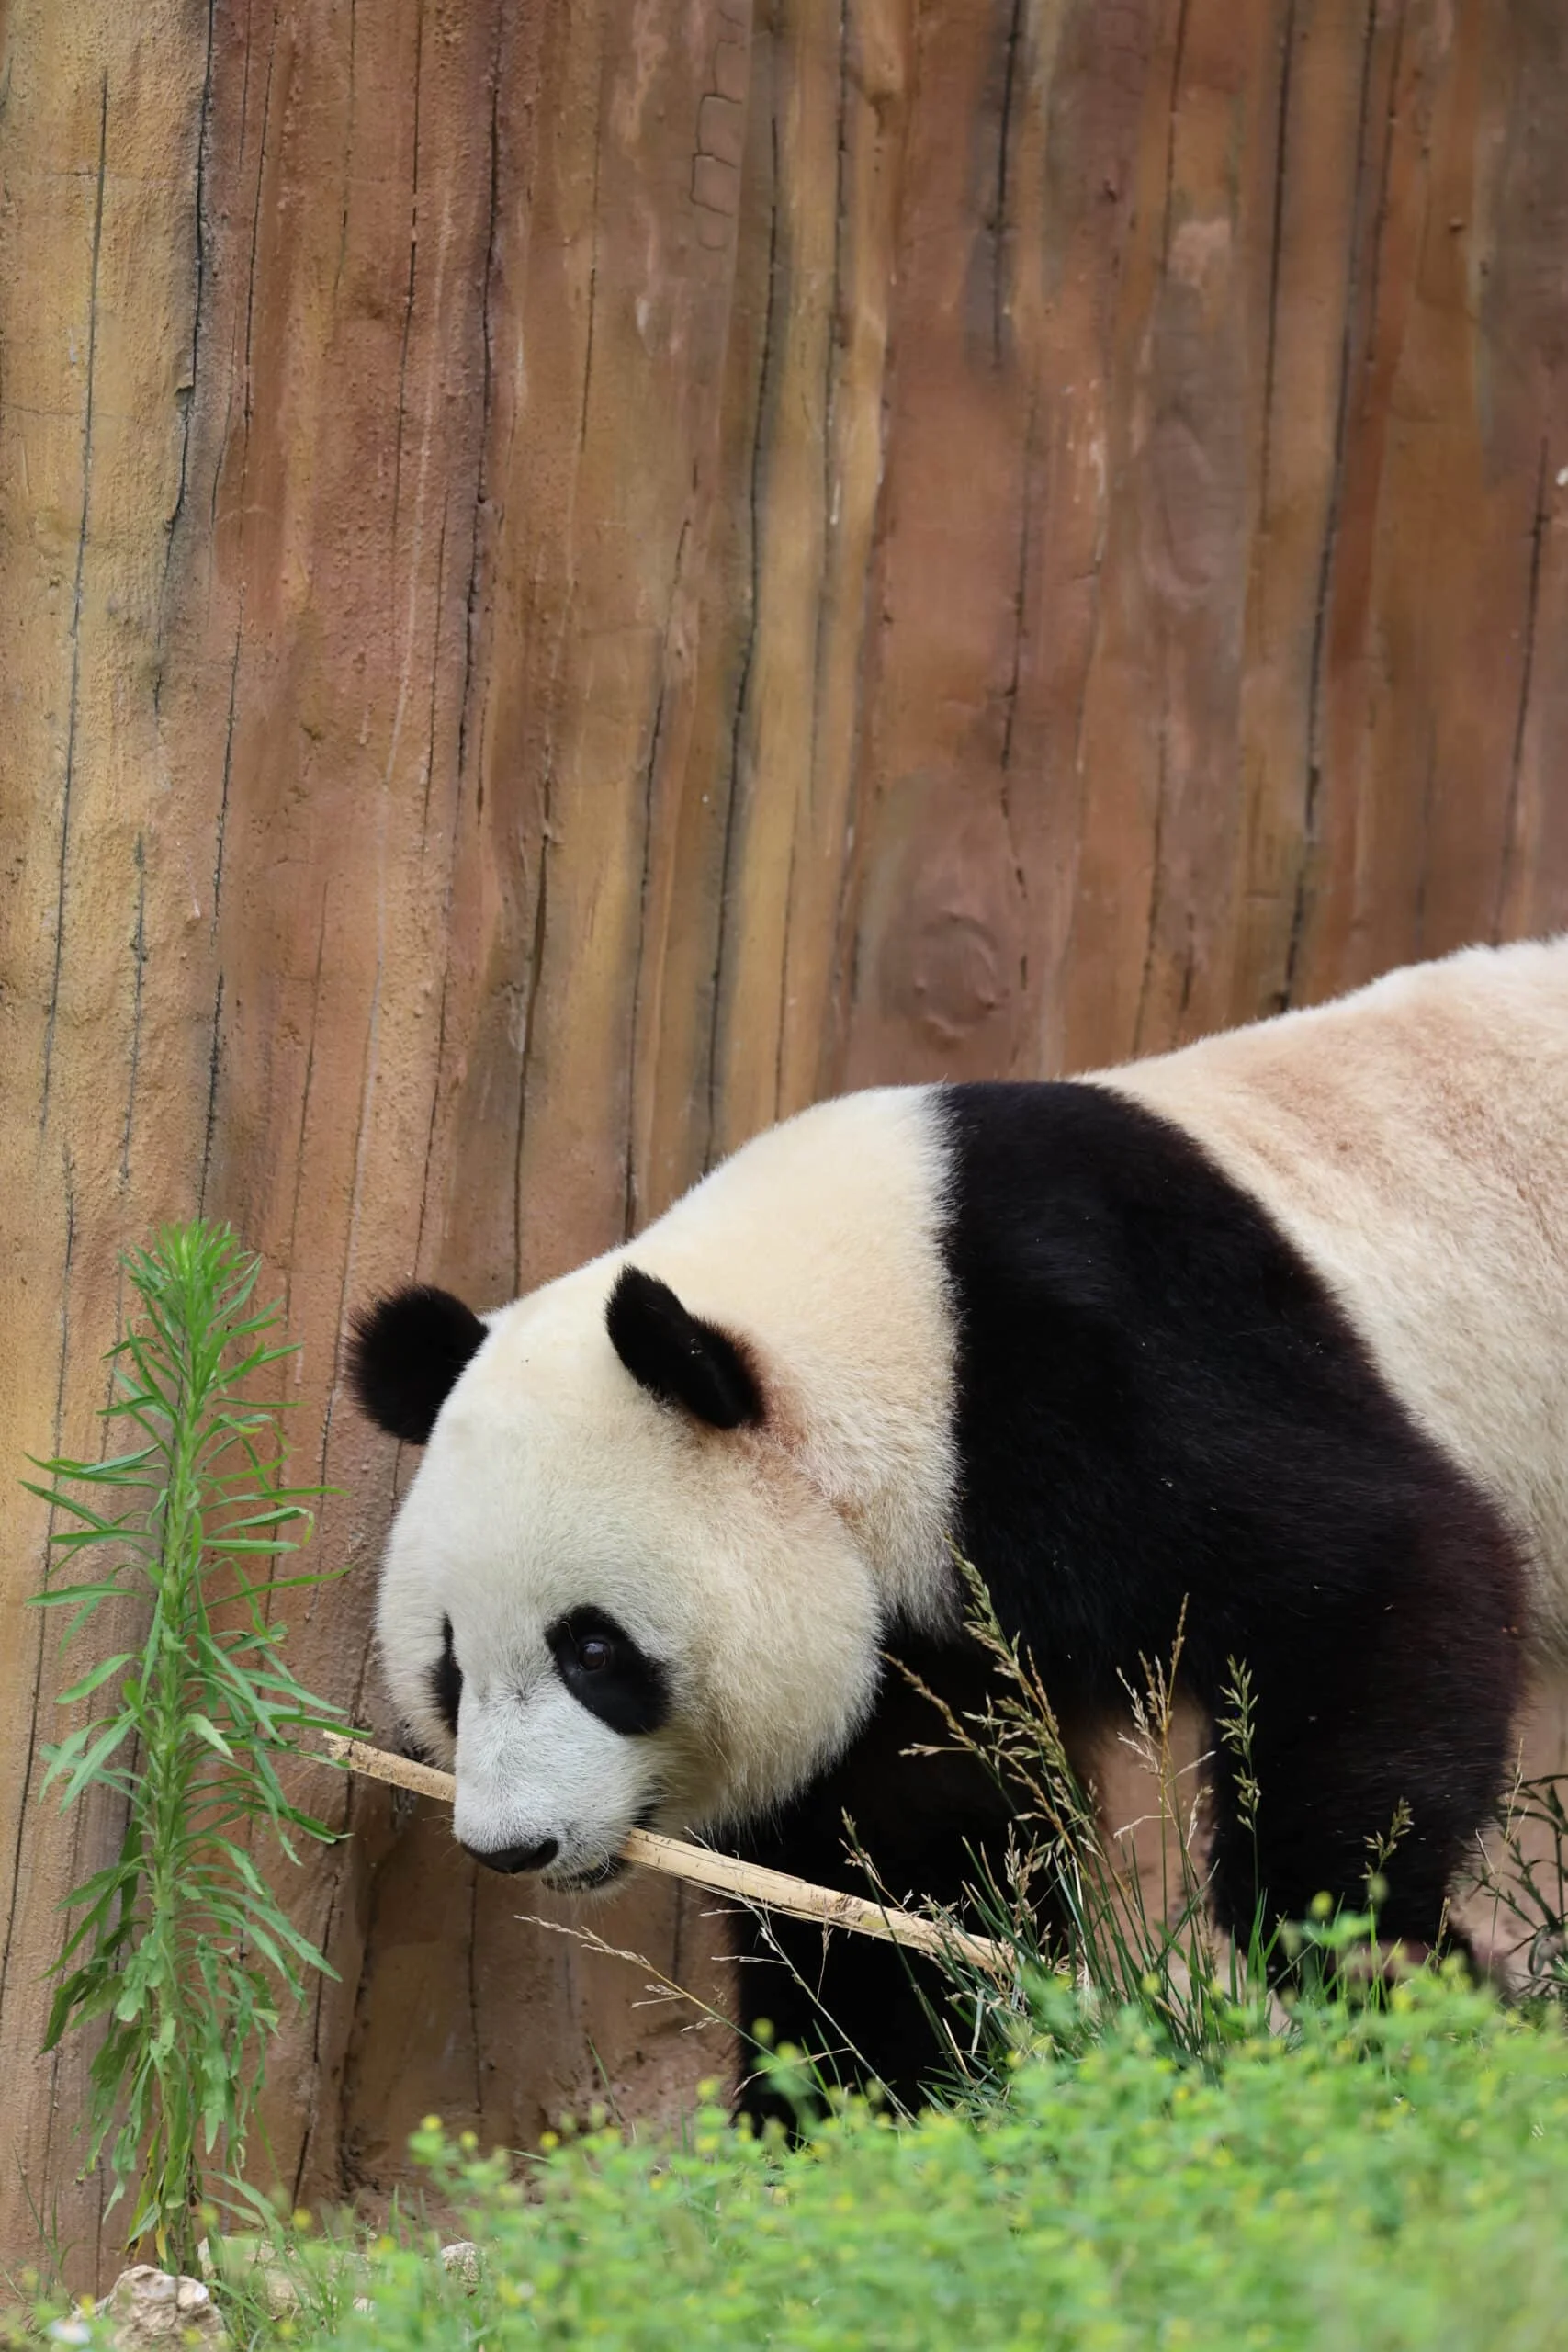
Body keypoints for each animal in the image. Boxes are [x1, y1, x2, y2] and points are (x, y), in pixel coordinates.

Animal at [349, 936, 1568, 2102]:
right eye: (449, 1666)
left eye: (594, 1650)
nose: (512, 1845)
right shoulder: (921, 1630)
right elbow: (897, 1872)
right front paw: (864, 2097)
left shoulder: (1110, 1363)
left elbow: (1376, 1578)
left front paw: (1362, 1964)